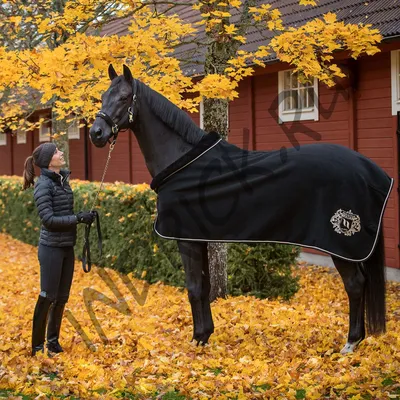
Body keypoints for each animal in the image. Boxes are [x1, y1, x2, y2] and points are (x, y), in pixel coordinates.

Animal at [89, 65, 392, 354]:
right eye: (102, 96)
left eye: (124, 97)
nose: (96, 134)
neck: (182, 160)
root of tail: (372, 172)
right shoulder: (199, 238)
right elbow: (204, 287)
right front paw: (206, 335)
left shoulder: (186, 240)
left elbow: (193, 288)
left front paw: (196, 339)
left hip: (341, 243)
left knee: (355, 284)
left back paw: (350, 343)